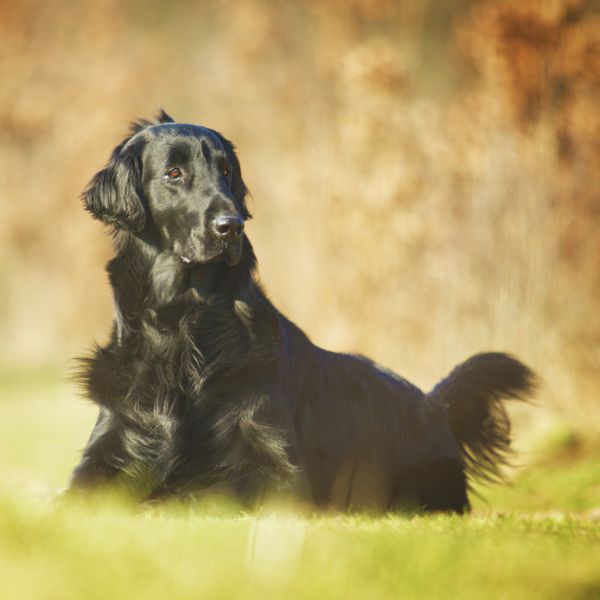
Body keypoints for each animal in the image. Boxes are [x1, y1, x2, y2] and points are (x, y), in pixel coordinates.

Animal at [69, 111, 536, 510]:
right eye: (173, 173)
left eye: (226, 171)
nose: (231, 226)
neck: (183, 324)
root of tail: (435, 405)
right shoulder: (108, 443)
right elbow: (76, 493)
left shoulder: (281, 474)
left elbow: (207, 488)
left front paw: (157, 499)